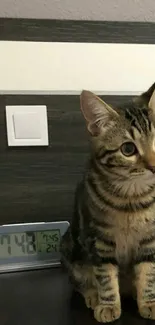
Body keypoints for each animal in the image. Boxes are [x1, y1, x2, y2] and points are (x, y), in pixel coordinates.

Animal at [60, 82, 155, 320]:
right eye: (128, 149)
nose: (154, 166)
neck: (133, 198)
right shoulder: (99, 240)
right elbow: (104, 276)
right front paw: (109, 304)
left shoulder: (150, 239)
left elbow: (148, 271)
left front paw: (149, 301)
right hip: (69, 250)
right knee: (79, 281)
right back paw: (93, 295)